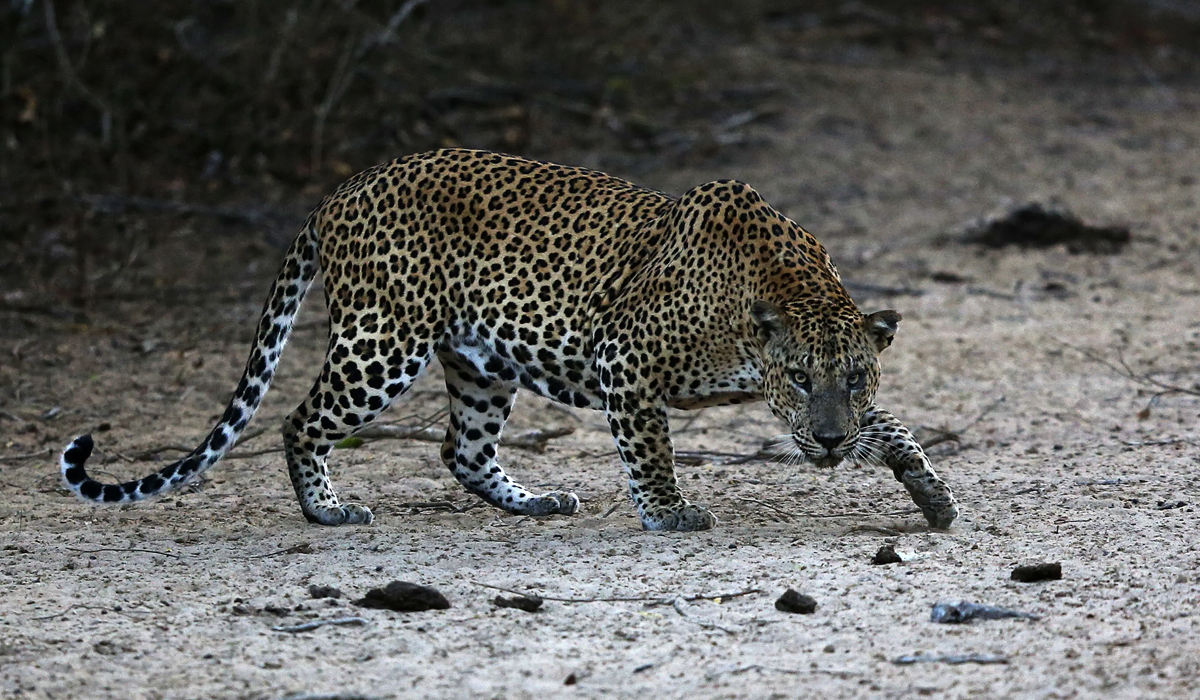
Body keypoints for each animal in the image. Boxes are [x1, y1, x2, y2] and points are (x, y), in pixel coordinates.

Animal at [56, 147, 960, 530]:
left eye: (853, 378)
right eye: (800, 378)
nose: (829, 440)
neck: (766, 298)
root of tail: (342, 190)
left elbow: (893, 428)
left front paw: (927, 487)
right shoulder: (625, 363)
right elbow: (652, 451)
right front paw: (669, 513)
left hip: (480, 362)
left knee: (460, 448)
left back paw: (534, 500)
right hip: (382, 341)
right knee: (298, 420)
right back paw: (327, 510)